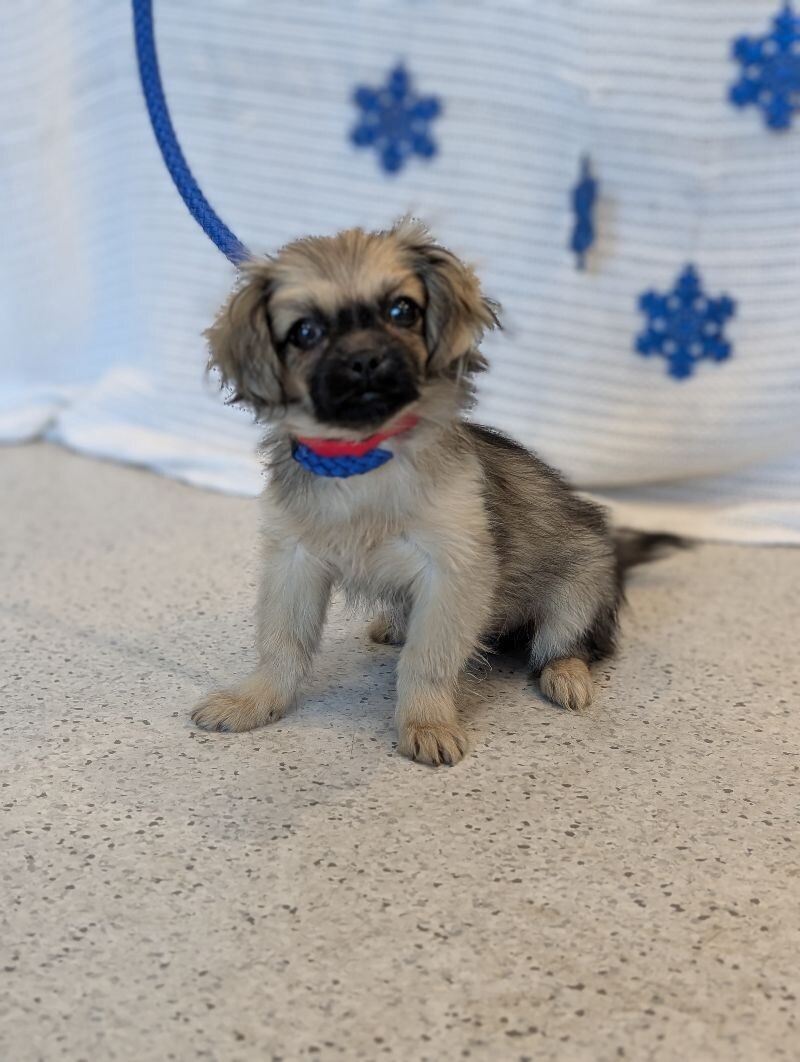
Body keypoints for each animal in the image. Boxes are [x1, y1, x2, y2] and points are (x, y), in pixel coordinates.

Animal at [190, 217, 675, 764]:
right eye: (305, 332)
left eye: (402, 310)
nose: (365, 360)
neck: (364, 458)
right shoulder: (293, 562)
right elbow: (281, 644)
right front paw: (253, 700)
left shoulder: (451, 573)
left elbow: (428, 660)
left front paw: (426, 721)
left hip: (578, 595)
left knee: (570, 646)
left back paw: (565, 675)